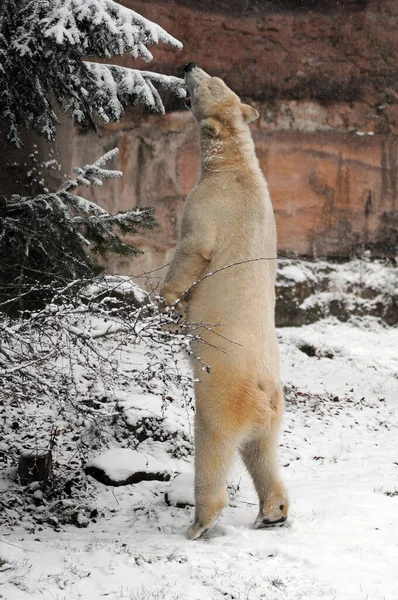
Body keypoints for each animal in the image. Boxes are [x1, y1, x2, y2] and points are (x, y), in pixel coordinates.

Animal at [160, 62, 288, 540]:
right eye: (218, 78)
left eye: (208, 84)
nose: (187, 66)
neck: (235, 165)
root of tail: (263, 392)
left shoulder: (208, 203)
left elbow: (193, 249)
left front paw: (165, 303)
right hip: (271, 410)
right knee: (262, 452)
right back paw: (273, 511)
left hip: (222, 391)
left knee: (213, 443)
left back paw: (199, 522)